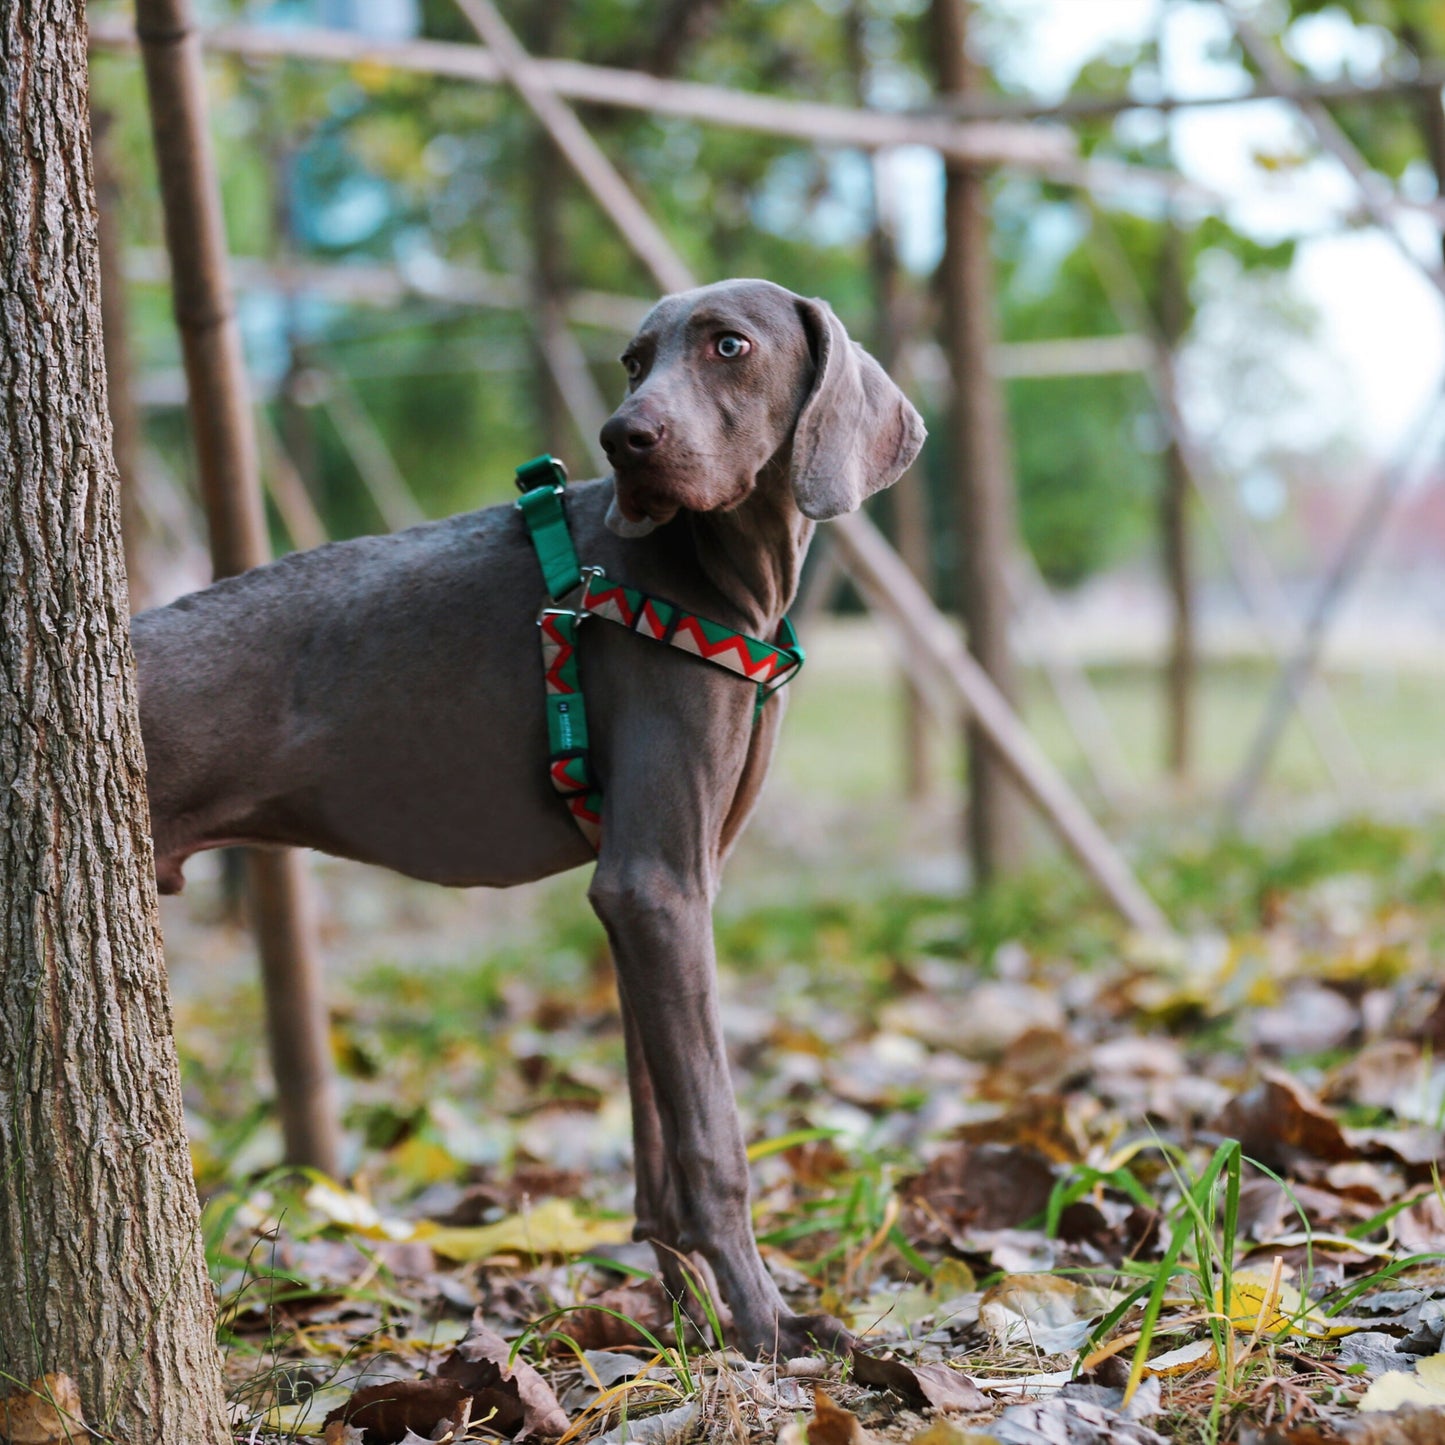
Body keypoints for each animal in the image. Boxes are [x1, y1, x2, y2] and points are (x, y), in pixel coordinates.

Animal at [135, 275, 924, 1358]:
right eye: (635, 359)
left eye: (727, 345)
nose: (622, 437)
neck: (715, 575)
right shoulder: (656, 885)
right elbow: (713, 1136)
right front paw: (768, 1328)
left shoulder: (650, 894)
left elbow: (656, 1142)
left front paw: (687, 1328)